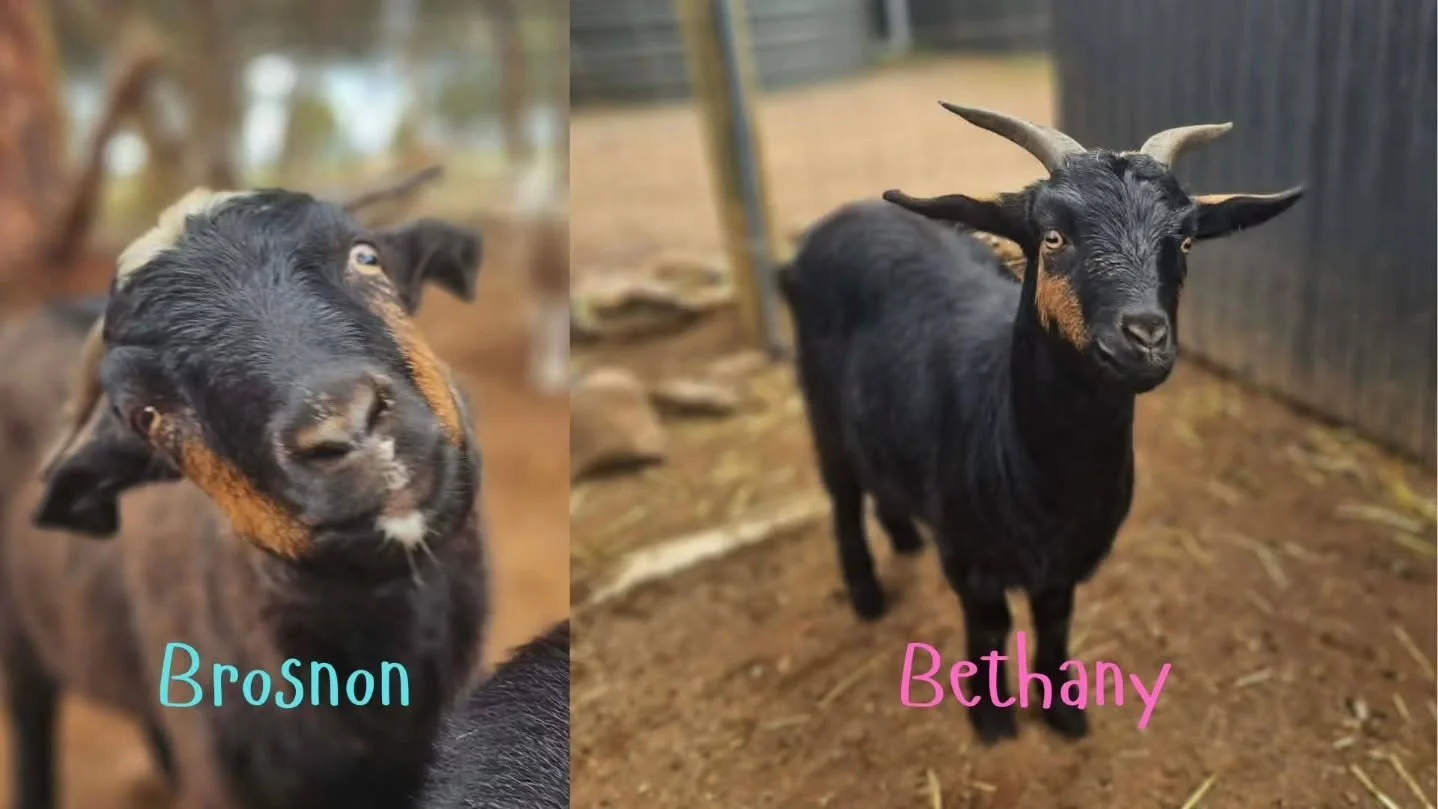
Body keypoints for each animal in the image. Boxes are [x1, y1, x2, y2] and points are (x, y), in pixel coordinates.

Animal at [780, 104, 1302, 744]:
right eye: (1053, 237)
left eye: (1183, 240)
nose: (1146, 338)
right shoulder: (970, 557)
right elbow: (990, 627)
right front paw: (991, 717)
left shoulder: (1070, 559)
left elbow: (1055, 623)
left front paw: (1062, 710)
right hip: (820, 409)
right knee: (843, 500)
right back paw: (867, 595)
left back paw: (904, 537)